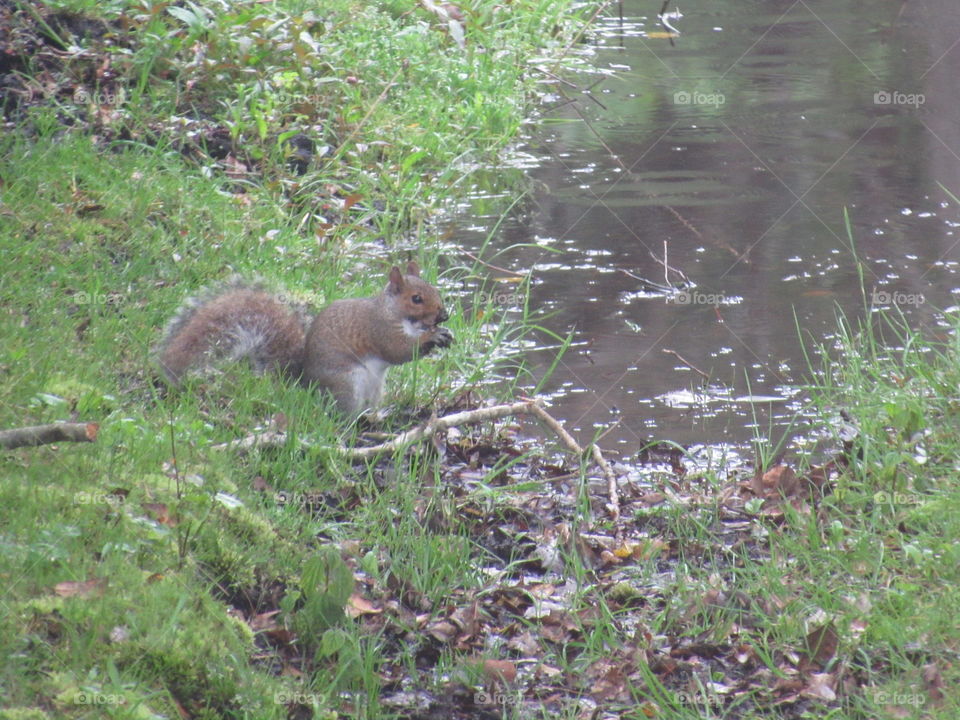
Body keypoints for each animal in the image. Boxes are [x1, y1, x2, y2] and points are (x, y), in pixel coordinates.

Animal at [157, 262, 453, 415]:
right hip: (347, 382)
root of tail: (304, 382)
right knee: (344, 413)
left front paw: (442, 335)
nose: (444, 315)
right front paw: (432, 336)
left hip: (375, 387)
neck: (394, 312)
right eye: (416, 299)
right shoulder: (378, 329)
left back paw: (378, 416)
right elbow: (397, 350)